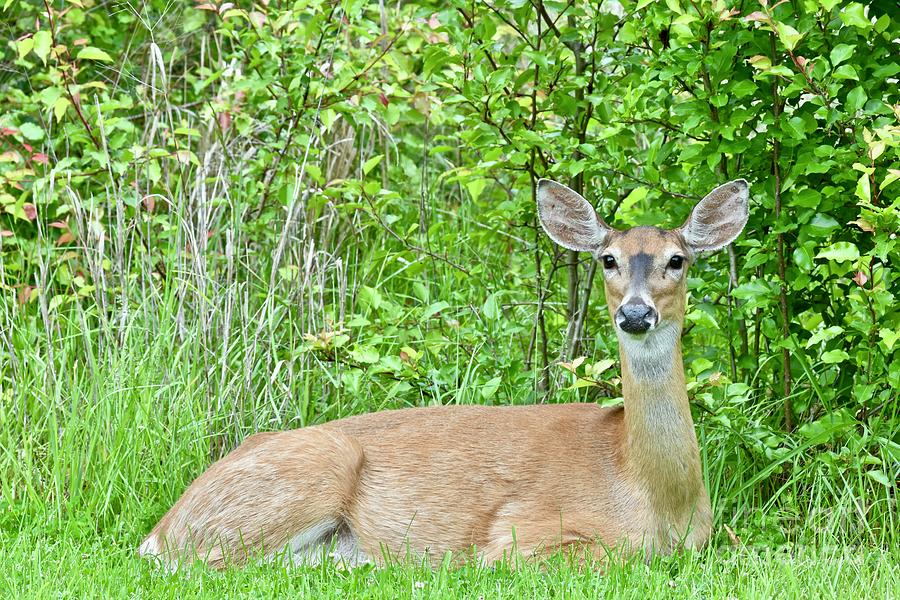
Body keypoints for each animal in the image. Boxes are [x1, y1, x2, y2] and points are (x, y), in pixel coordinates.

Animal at [137, 177, 748, 568]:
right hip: (311, 470)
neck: (652, 493)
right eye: (608, 260)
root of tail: (162, 527)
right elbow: (603, 558)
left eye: (677, 260)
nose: (636, 314)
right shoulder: (521, 533)